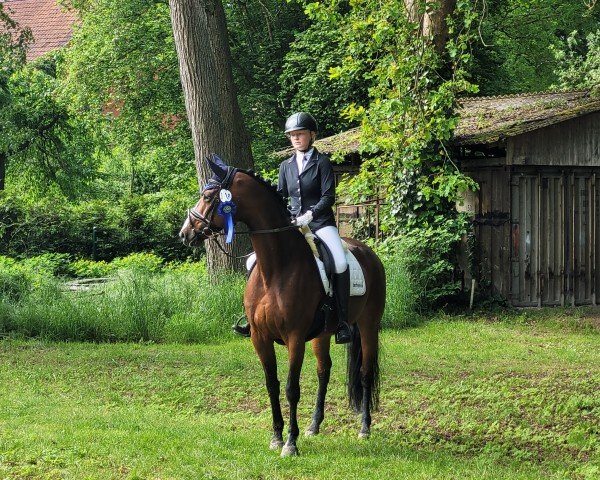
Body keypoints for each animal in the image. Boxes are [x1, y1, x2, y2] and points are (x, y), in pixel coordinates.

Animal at [178, 156, 386, 456]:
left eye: (207, 197)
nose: (185, 234)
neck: (276, 268)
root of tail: (368, 252)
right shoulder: (259, 337)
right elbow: (271, 385)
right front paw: (277, 436)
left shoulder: (294, 338)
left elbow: (291, 388)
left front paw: (290, 443)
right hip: (324, 333)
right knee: (324, 372)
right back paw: (314, 426)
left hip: (369, 325)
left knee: (365, 373)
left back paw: (364, 428)